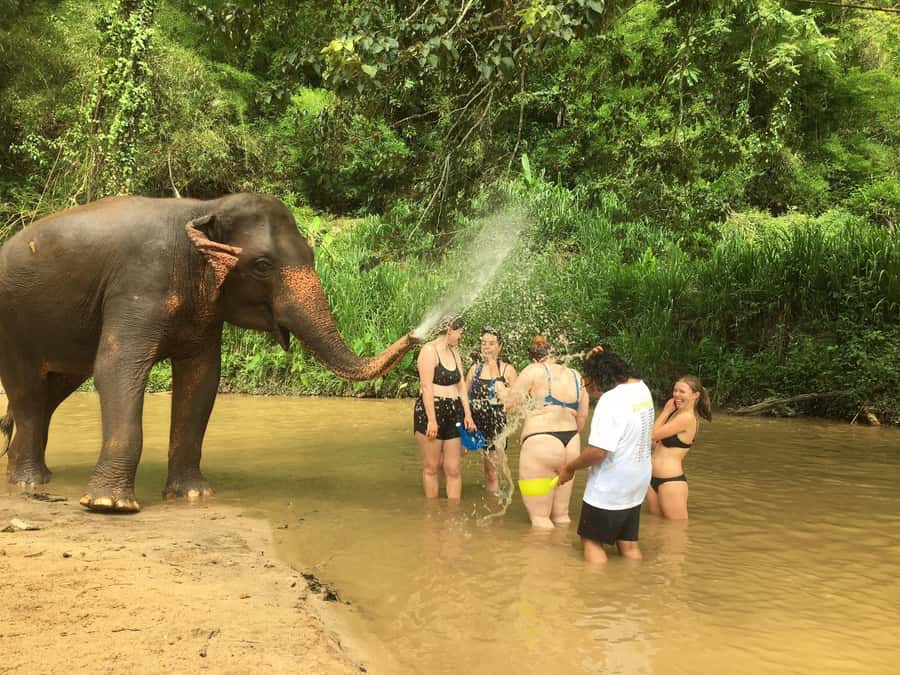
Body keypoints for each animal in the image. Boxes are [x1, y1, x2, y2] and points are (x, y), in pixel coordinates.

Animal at [0, 193, 417, 512]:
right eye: (262, 265)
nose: (416, 334)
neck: (204, 207)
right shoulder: (137, 285)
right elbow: (117, 368)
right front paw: (110, 505)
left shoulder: (204, 312)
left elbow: (201, 378)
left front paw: (193, 494)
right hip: (13, 325)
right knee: (28, 390)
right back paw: (29, 481)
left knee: (52, 391)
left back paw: (30, 474)